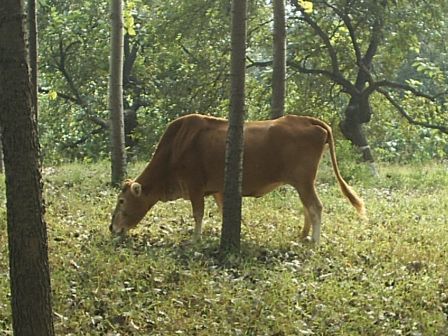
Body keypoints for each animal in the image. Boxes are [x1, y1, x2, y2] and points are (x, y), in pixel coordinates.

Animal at [110, 114, 366, 243]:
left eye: (121, 201)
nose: (112, 228)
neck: (176, 147)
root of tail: (307, 120)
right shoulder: (218, 189)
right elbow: (225, 211)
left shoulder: (195, 186)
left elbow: (198, 214)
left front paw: (195, 239)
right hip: (301, 181)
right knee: (307, 206)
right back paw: (303, 234)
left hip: (303, 180)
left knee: (315, 207)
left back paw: (314, 240)